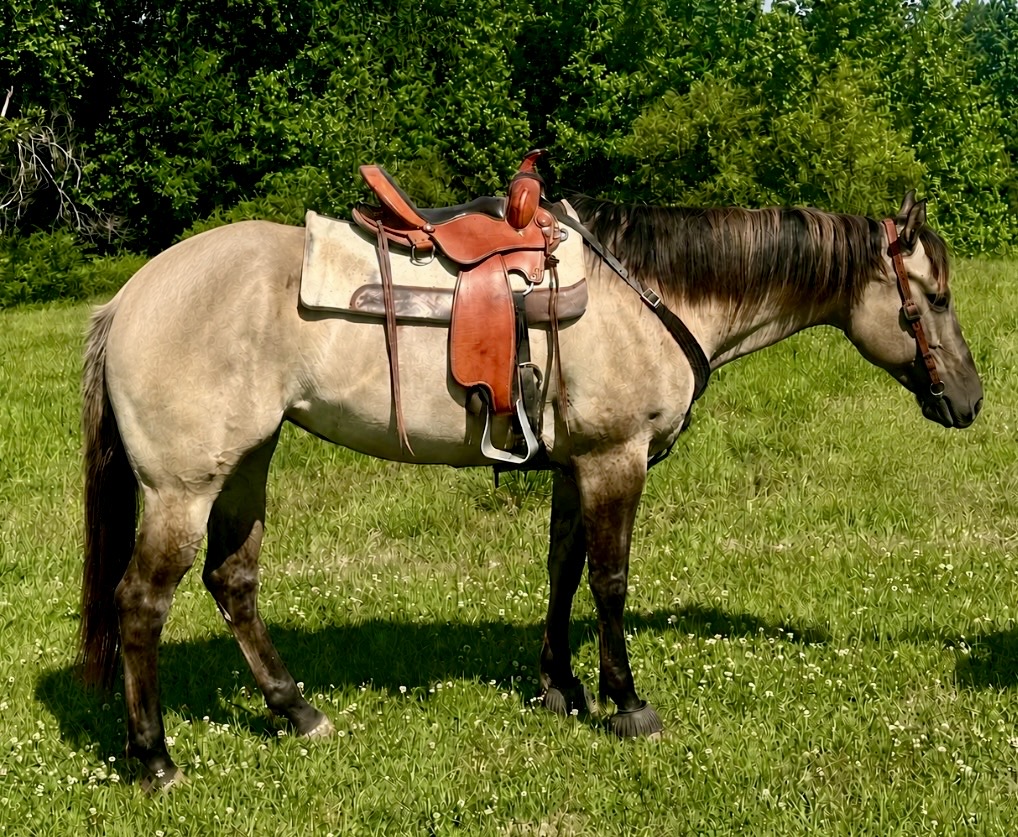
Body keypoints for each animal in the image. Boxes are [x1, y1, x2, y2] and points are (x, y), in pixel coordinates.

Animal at [80, 190, 982, 790]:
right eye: (933, 298)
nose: (971, 401)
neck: (651, 295)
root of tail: (128, 296)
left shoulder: (577, 467)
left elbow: (563, 572)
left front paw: (560, 686)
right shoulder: (616, 460)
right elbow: (611, 581)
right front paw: (626, 700)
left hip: (248, 461)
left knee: (232, 581)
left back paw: (296, 710)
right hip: (182, 486)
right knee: (142, 604)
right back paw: (155, 757)